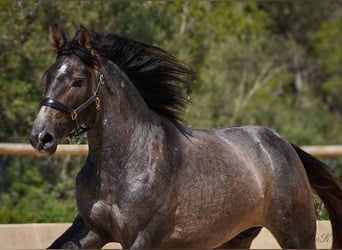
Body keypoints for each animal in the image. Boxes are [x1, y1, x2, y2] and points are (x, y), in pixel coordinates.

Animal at [30, 24, 342, 248]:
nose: (40, 136)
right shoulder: (90, 229)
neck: (124, 162)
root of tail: (282, 144)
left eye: (77, 81)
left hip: (296, 234)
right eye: (47, 76)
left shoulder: (141, 237)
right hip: (235, 239)